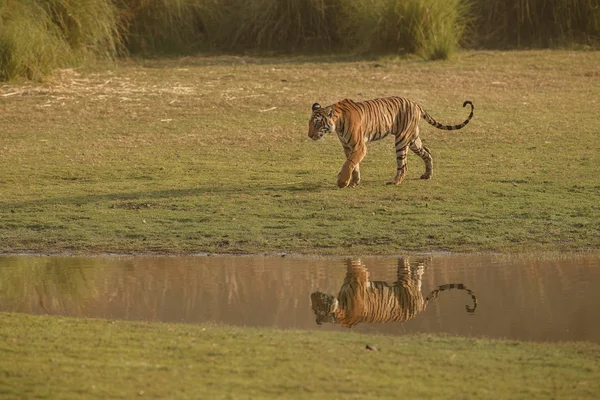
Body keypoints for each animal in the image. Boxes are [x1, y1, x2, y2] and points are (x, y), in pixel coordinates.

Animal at [310, 96, 474, 188]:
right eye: (309, 123)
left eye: (317, 123)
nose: (310, 135)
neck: (337, 124)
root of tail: (415, 104)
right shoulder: (348, 147)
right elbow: (354, 165)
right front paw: (353, 183)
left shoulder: (359, 146)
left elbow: (349, 163)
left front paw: (342, 183)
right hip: (413, 140)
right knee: (427, 152)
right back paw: (427, 175)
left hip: (401, 140)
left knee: (403, 165)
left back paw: (394, 182)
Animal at [312, 258, 476, 326]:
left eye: (317, 306)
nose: (311, 294)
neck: (341, 311)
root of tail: (419, 308)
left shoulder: (360, 275)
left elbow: (354, 264)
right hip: (408, 279)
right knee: (419, 271)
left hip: (406, 278)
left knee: (415, 268)